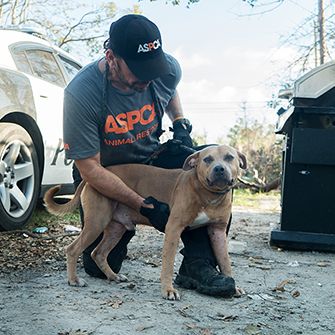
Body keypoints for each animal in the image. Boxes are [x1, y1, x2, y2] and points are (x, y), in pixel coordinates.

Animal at [44, 146, 247, 300]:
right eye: (207, 159)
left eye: (229, 157)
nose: (219, 169)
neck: (208, 196)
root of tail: (90, 179)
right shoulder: (174, 229)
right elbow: (168, 264)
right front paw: (168, 290)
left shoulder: (217, 232)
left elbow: (225, 261)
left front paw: (232, 285)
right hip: (96, 223)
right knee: (73, 249)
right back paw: (74, 280)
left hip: (116, 229)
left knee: (98, 253)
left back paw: (113, 276)